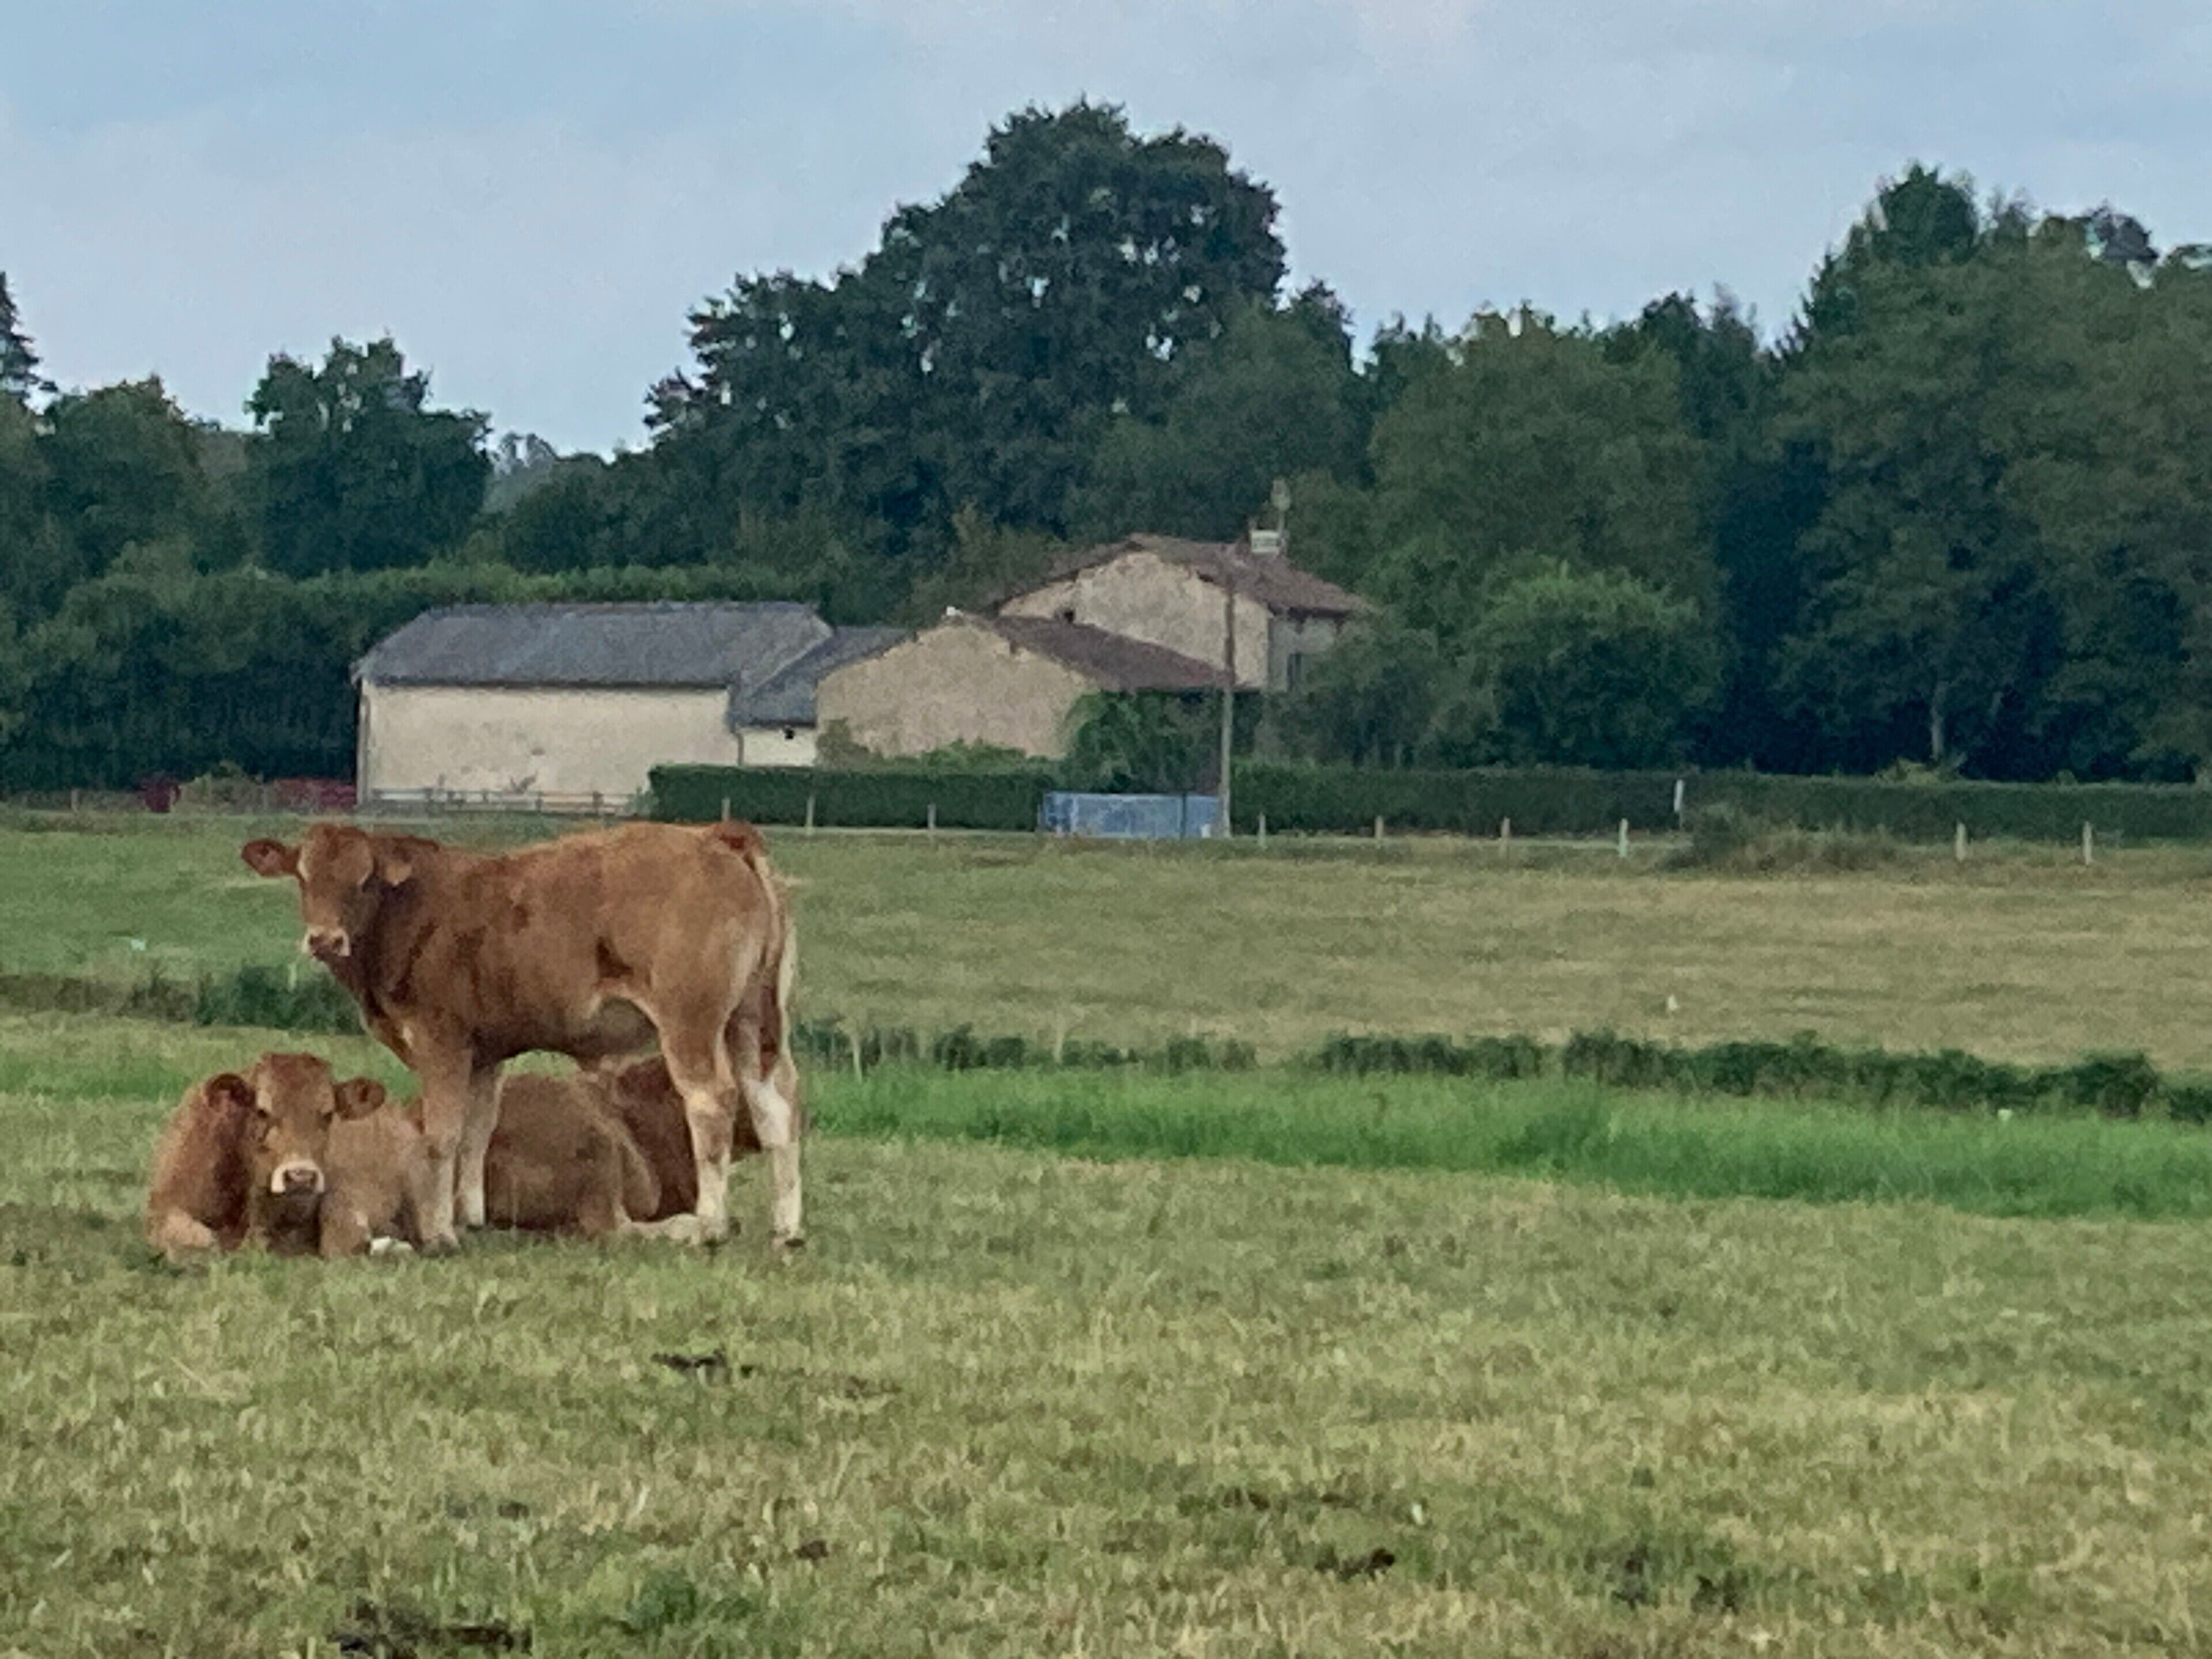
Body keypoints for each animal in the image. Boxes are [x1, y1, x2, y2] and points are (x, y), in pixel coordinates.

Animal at [240, 819, 801, 1256]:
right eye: (304, 876)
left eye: (363, 880)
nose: (325, 939)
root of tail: (713, 835)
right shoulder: (487, 1053)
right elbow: (476, 1132)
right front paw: (468, 1218)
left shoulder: (442, 1042)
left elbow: (441, 1137)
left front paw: (440, 1233)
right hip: (753, 1024)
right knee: (776, 1106)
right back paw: (787, 1229)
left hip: (691, 1022)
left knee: (711, 1103)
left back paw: (710, 1224)